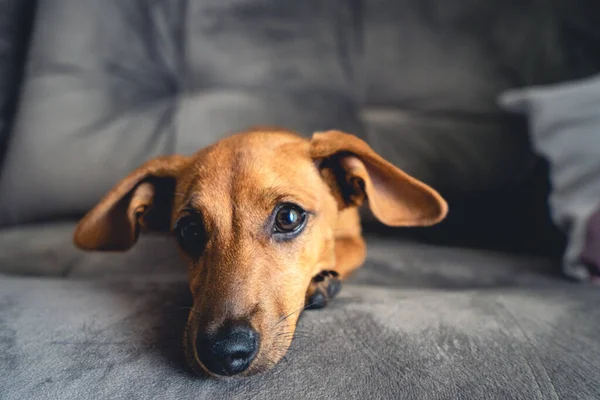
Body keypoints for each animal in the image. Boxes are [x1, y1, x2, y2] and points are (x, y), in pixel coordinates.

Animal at [72, 129, 446, 378]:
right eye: (189, 230)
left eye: (289, 217)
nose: (224, 353)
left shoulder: (354, 239)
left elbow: (339, 251)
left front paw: (322, 281)